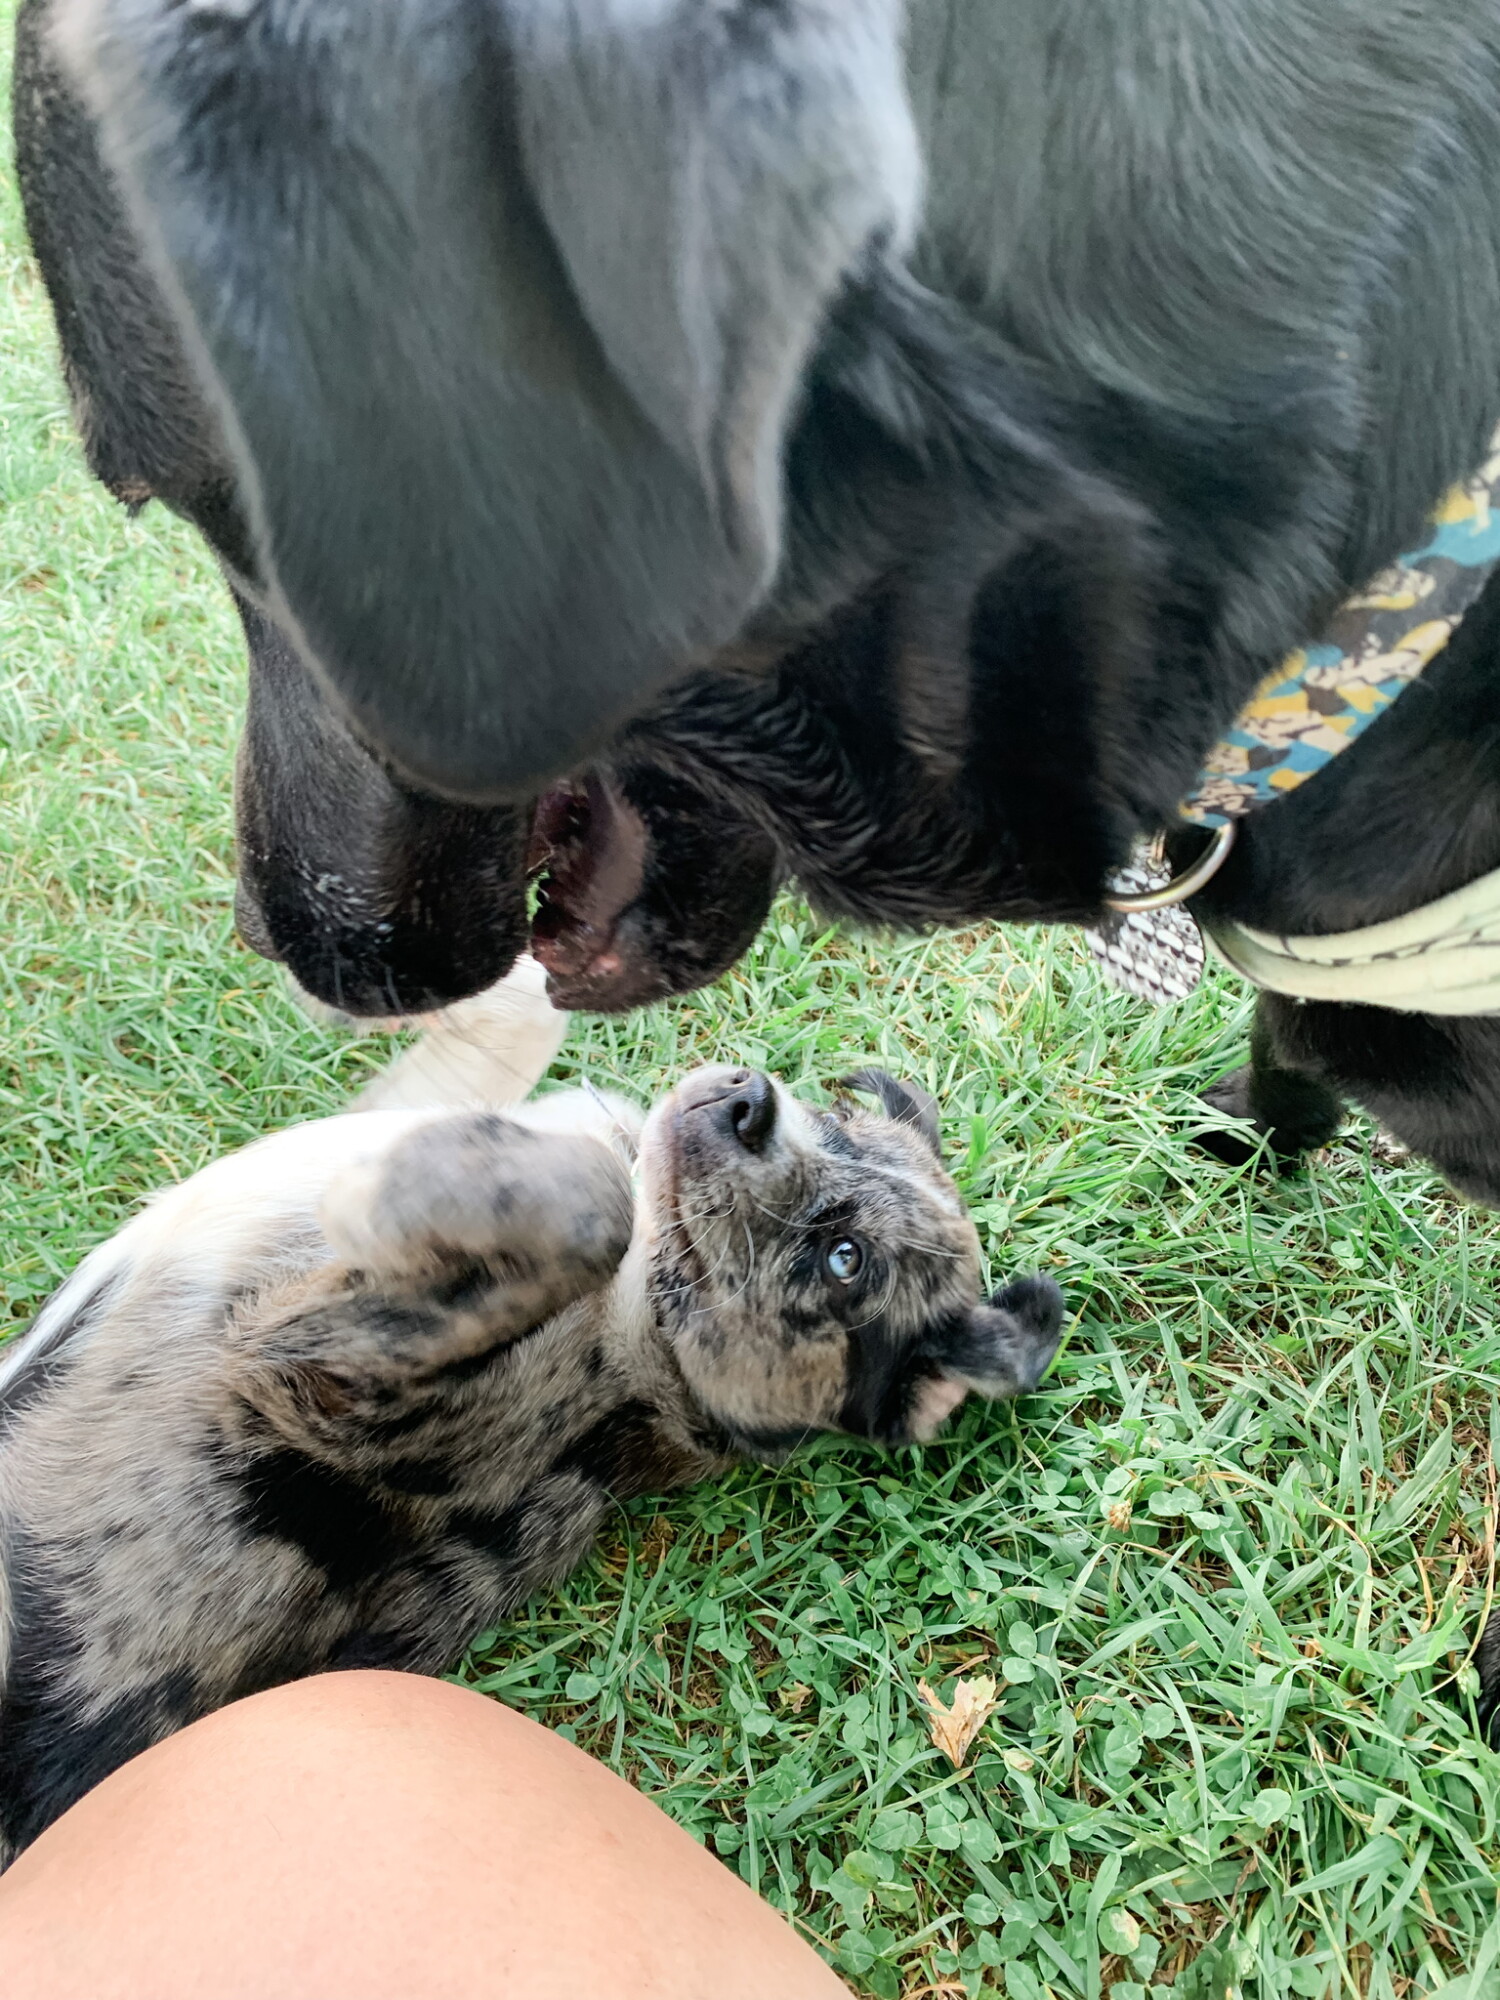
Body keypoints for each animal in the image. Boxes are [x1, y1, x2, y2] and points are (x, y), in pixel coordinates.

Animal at [0, 968, 1064, 1856]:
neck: (644, 1357)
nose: (749, 1098)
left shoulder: (321, 1384)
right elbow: (524, 1020)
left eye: (844, 1260)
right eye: (836, 1118)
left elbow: (591, 1206)